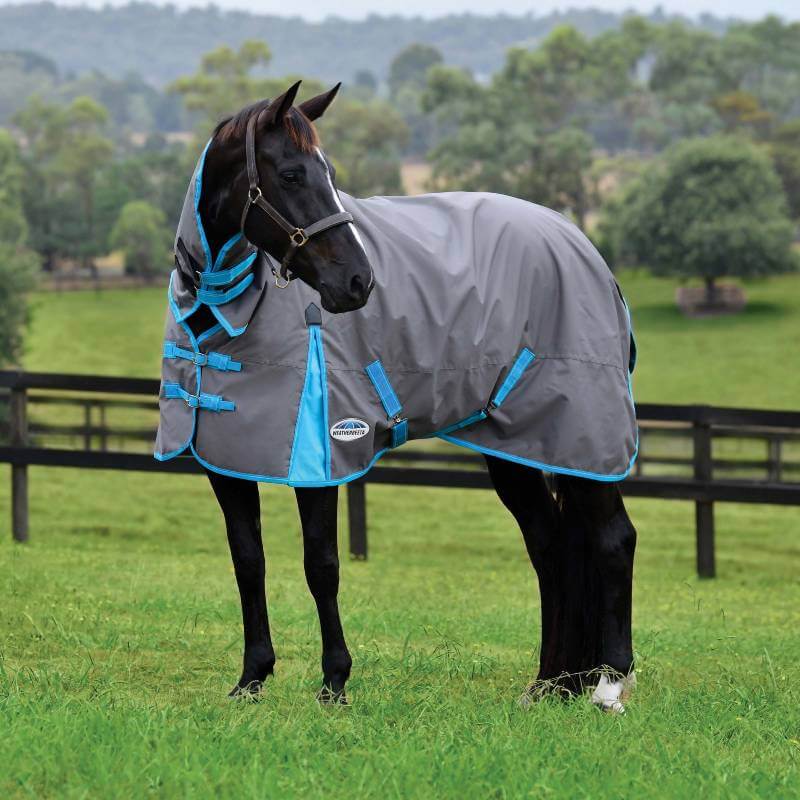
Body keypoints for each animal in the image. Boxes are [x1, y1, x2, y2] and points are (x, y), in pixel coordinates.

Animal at [160, 81, 637, 713]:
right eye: (291, 174)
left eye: (330, 173)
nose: (358, 282)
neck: (228, 306)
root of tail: (585, 247)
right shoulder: (227, 459)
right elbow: (248, 561)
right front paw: (251, 679)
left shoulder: (322, 454)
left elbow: (322, 565)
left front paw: (334, 684)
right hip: (521, 446)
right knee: (552, 548)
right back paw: (548, 686)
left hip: (586, 434)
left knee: (614, 540)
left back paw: (608, 685)